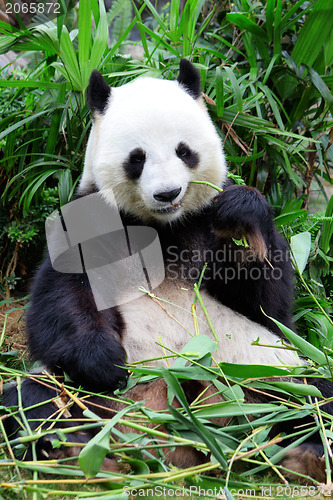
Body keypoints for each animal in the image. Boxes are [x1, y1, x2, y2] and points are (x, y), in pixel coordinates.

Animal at [3, 59, 330, 484]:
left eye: (184, 151)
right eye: (137, 157)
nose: (167, 193)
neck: (163, 227)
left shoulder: (205, 225)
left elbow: (269, 310)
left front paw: (242, 215)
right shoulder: (89, 222)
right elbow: (62, 299)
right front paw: (105, 361)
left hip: (263, 373)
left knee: (313, 395)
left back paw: (304, 454)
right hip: (96, 400)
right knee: (36, 399)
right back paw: (76, 453)